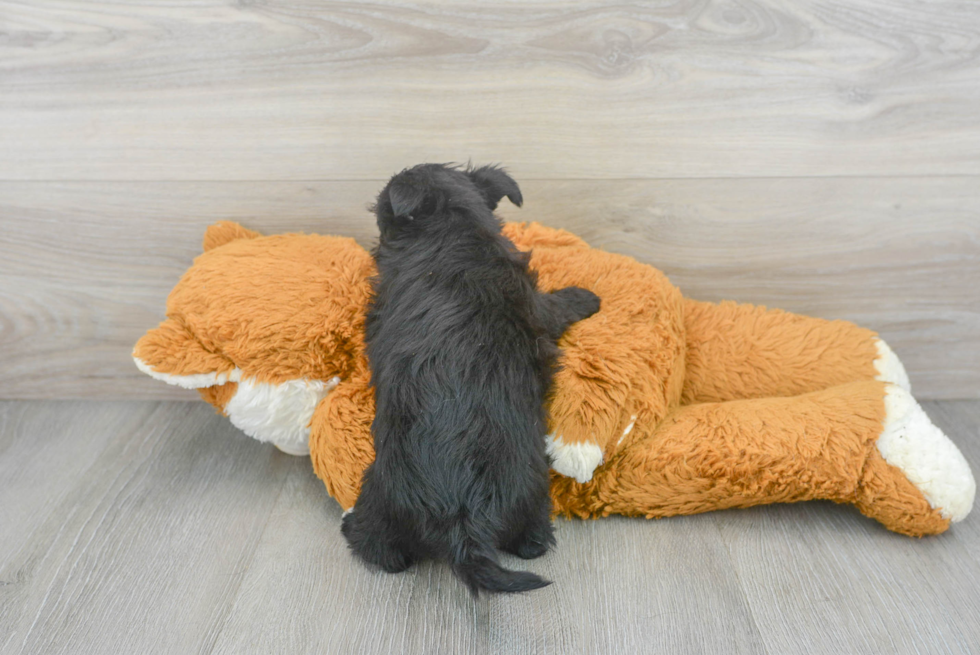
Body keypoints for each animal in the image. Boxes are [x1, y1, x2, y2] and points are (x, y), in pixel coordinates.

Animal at [344, 163, 600, 596]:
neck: (453, 229)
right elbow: (557, 304)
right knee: (531, 544)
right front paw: (589, 297)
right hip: (530, 495)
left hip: (379, 495)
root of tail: (463, 519)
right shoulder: (536, 305)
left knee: (387, 555)